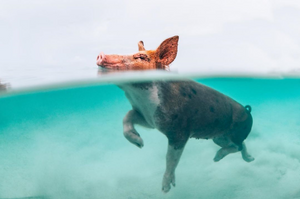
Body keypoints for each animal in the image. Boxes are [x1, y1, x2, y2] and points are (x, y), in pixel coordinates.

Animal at [95, 36, 253, 193]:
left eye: (142, 57)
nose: (101, 54)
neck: (140, 97)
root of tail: (248, 111)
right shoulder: (149, 119)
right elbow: (127, 116)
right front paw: (140, 144)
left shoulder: (180, 131)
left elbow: (170, 158)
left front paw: (165, 189)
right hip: (219, 137)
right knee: (239, 145)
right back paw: (243, 159)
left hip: (236, 132)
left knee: (238, 146)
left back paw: (218, 158)